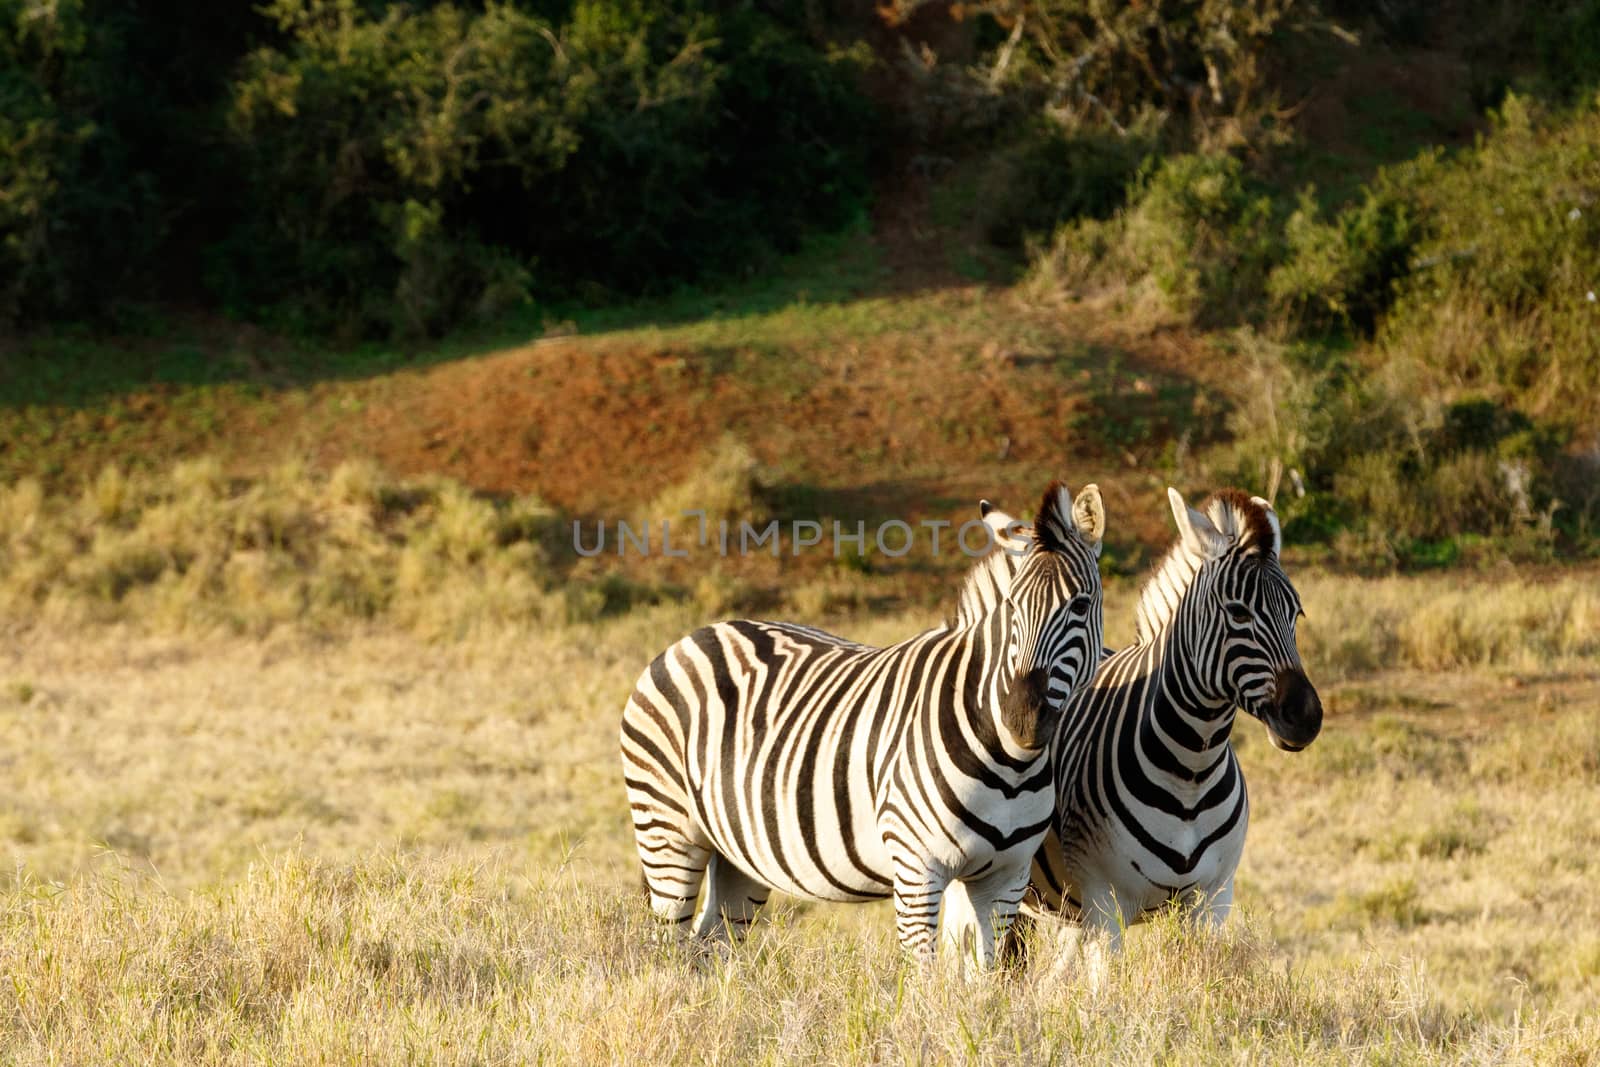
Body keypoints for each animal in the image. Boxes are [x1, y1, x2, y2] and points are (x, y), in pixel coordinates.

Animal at [617, 483, 1107, 966]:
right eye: (1011, 607)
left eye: (1080, 606)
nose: (1021, 720)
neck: (1011, 765)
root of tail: (691, 638)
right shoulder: (917, 868)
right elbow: (925, 976)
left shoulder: (1004, 878)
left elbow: (981, 976)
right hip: (668, 829)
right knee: (669, 946)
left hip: (738, 852)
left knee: (709, 944)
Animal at [940, 489, 1318, 966]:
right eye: (1237, 612)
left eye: (1297, 613)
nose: (1306, 717)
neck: (1191, 768)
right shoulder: (1106, 904)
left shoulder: (1212, 902)